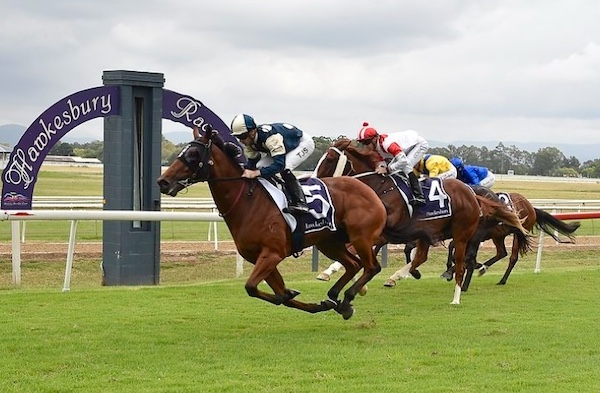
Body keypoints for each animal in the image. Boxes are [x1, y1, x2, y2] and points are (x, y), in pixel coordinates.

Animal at [157, 126, 392, 318]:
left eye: (193, 153)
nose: (163, 181)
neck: (248, 201)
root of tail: (367, 188)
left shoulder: (272, 253)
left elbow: (252, 287)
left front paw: (289, 294)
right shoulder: (259, 257)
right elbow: (273, 293)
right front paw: (307, 301)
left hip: (360, 237)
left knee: (371, 267)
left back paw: (348, 297)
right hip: (328, 242)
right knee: (353, 264)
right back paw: (336, 298)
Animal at [316, 138, 528, 304]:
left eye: (330, 158)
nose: (316, 179)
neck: (379, 187)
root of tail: (474, 194)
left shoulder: (383, 232)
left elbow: (357, 251)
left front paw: (352, 282)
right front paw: (335, 275)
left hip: (466, 234)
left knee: (464, 259)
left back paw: (457, 290)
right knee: (423, 257)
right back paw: (397, 277)